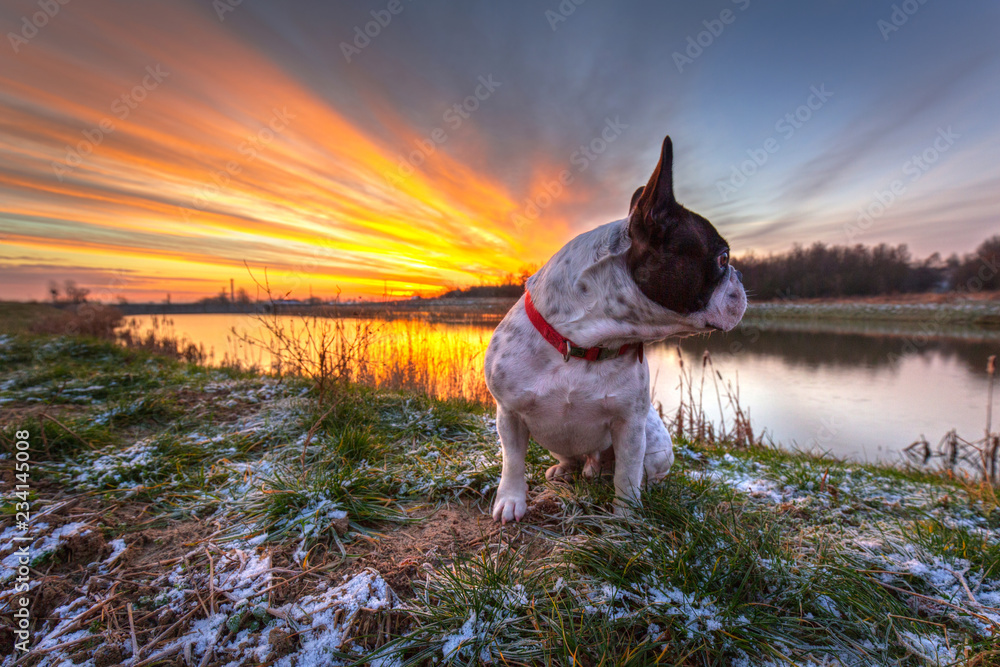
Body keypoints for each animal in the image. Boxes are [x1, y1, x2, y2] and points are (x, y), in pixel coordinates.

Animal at [480, 136, 748, 520]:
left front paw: (626, 515)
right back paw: (565, 470)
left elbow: (627, 471)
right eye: (722, 259)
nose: (740, 275)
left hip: (656, 443)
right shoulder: (510, 414)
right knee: (572, 459)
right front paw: (511, 501)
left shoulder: (630, 425)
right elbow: (512, 461)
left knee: (636, 469)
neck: (583, 341)